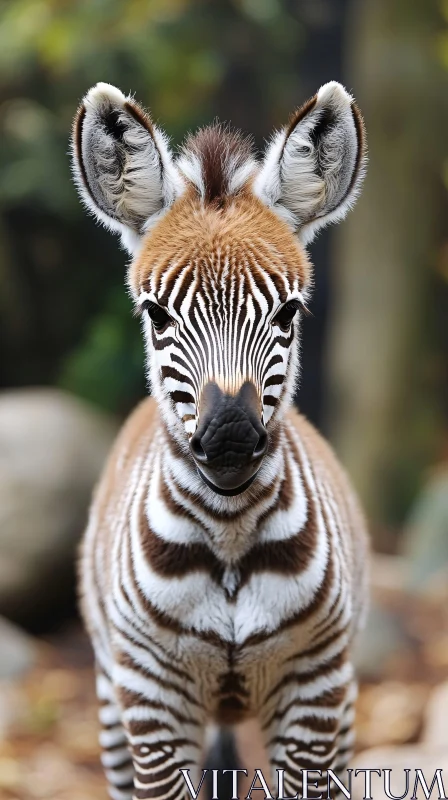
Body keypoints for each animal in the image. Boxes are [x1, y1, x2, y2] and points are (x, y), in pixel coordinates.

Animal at [71, 76, 368, 800]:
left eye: (288, 312)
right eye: (156, 314)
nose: (231, 438)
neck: (230, 535)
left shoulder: (315, 690)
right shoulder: (151, 696)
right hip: (110, 694)